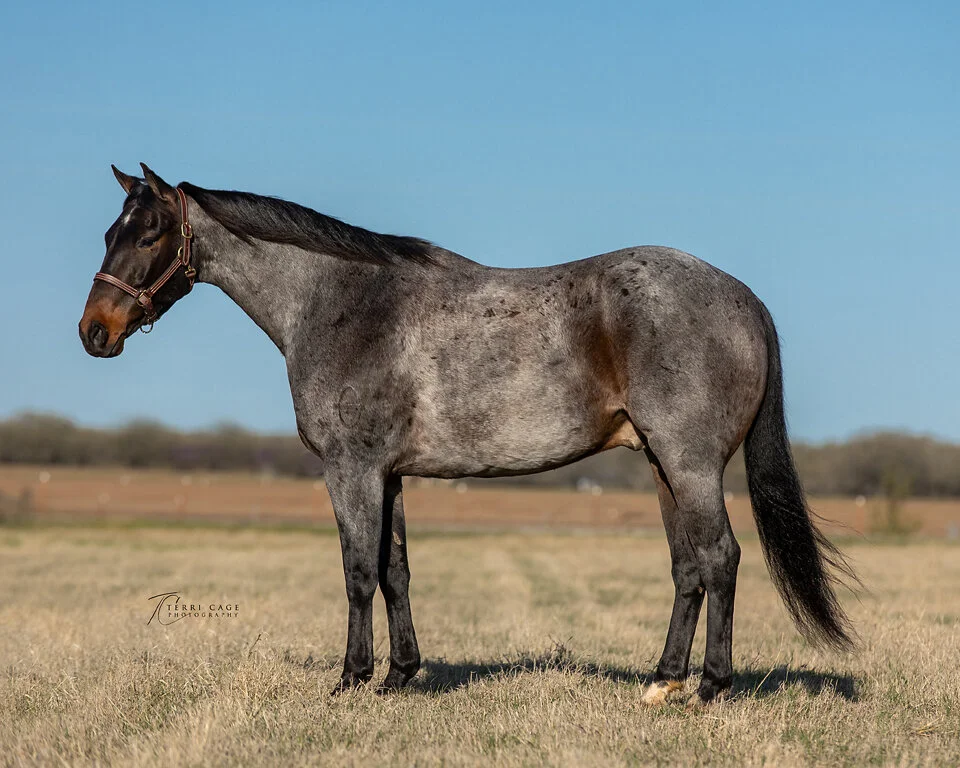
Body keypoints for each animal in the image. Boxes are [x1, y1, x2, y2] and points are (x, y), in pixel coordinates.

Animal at [79, 164, 855, 704]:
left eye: (147, 235)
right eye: (109, 234)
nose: (95, 333)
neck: (344, 304)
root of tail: (742, 297)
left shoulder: (350, 468)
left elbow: (357, 571)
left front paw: (351, 679)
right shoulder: (389, 473)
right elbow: (394, 569)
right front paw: (400, 676)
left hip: (690, 464)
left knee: (720, 558)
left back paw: (710, 687)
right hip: (664, 465)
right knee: (689, 566)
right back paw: (663, 682)